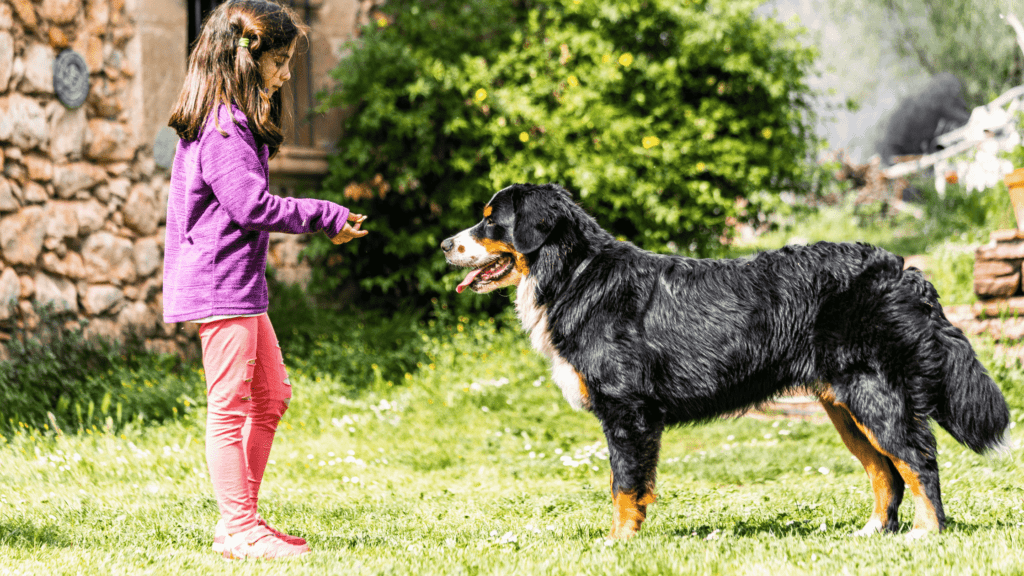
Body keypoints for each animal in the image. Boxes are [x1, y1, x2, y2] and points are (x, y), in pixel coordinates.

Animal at [440, 182, 1007, 537]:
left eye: (492, 222)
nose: (446, 243)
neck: (576, 276)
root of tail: (899, 269)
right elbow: (627, 486)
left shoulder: (627, 411)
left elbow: (624, 485)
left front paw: (618, 542)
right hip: (845, 406)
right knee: (885, 470)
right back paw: (873, 532)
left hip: (874, 394)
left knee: (918, 460)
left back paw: (926, 533)